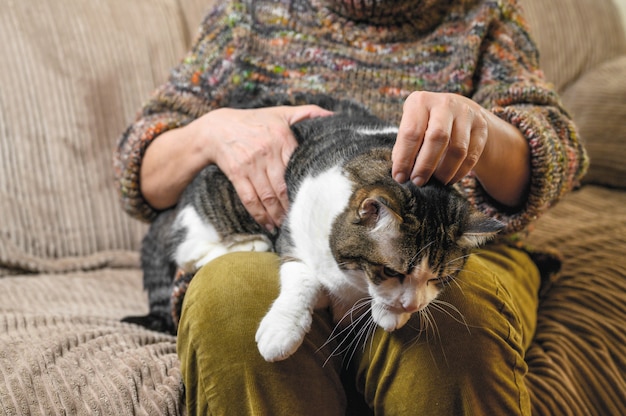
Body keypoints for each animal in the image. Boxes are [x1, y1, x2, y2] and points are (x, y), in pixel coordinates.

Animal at [123, 93, 502, 360]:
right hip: (220, 201)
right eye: (392, 272)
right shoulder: (294, 234)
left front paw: (390, 313)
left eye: (439, 278)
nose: (410, 307)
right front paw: (282, 331)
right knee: (188, 248)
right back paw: (251, 243)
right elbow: (301, 280)